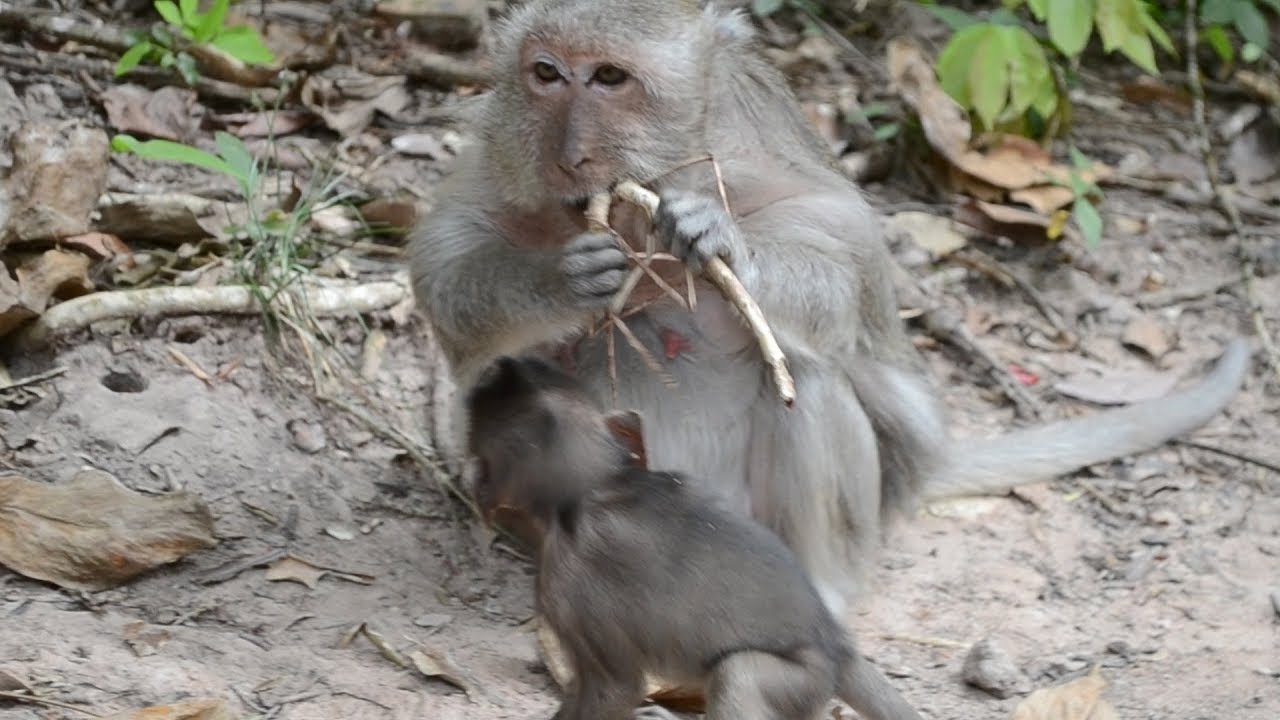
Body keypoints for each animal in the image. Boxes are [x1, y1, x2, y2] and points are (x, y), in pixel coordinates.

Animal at [408, 0, 1252, 615]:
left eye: (610, 77)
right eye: (547, 73)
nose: (571, 154)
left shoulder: (758, 152)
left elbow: (846, 257)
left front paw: (720, 243)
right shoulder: (503, 156)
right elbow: (444, 268)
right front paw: (558, 278)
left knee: (808, 377)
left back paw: (820, 596)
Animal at [464, 354, 925, 720]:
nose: (478, 488)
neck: (599, 482)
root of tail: (835, 642)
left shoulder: (569, 575)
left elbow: (615, 689)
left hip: (804, 680)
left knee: (737, 675)